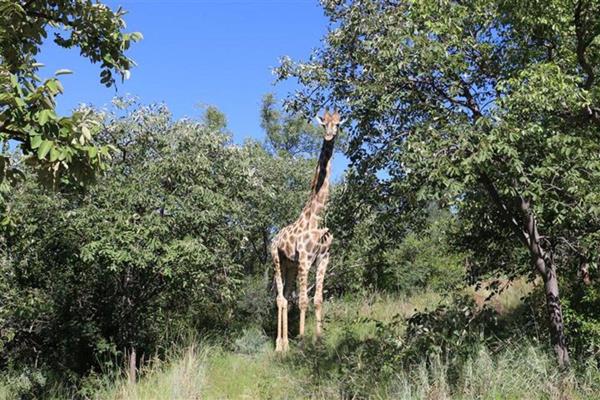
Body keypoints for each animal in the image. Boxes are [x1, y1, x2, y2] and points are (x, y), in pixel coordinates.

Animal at [270, 108, 340, 352]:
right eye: (323, 124)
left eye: (338, 124)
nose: (329, 136)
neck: (317, 218)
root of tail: (274, 237)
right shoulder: (305, 259)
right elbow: (302, 301)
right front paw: (302, 340)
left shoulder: (324, 258)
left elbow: (317, 299)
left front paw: (318, 340)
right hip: (277, 260)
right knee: (281, 298)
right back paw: (280, 346)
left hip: (289, 266)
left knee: (285, 297)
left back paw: (285, 343)